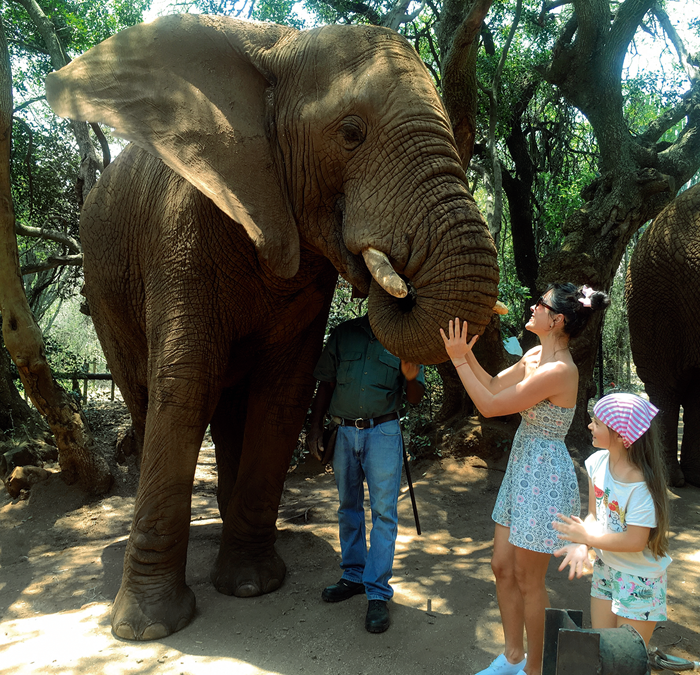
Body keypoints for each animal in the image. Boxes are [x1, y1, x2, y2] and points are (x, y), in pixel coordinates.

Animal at [46, 13, 500, 640]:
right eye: (351, 132)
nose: (395, 282)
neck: (279, 46)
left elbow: (284, 392)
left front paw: (252, 586)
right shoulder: (180, 230)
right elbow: (184, 387)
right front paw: (149, 628)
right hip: (102, 283)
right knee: (147, 393)